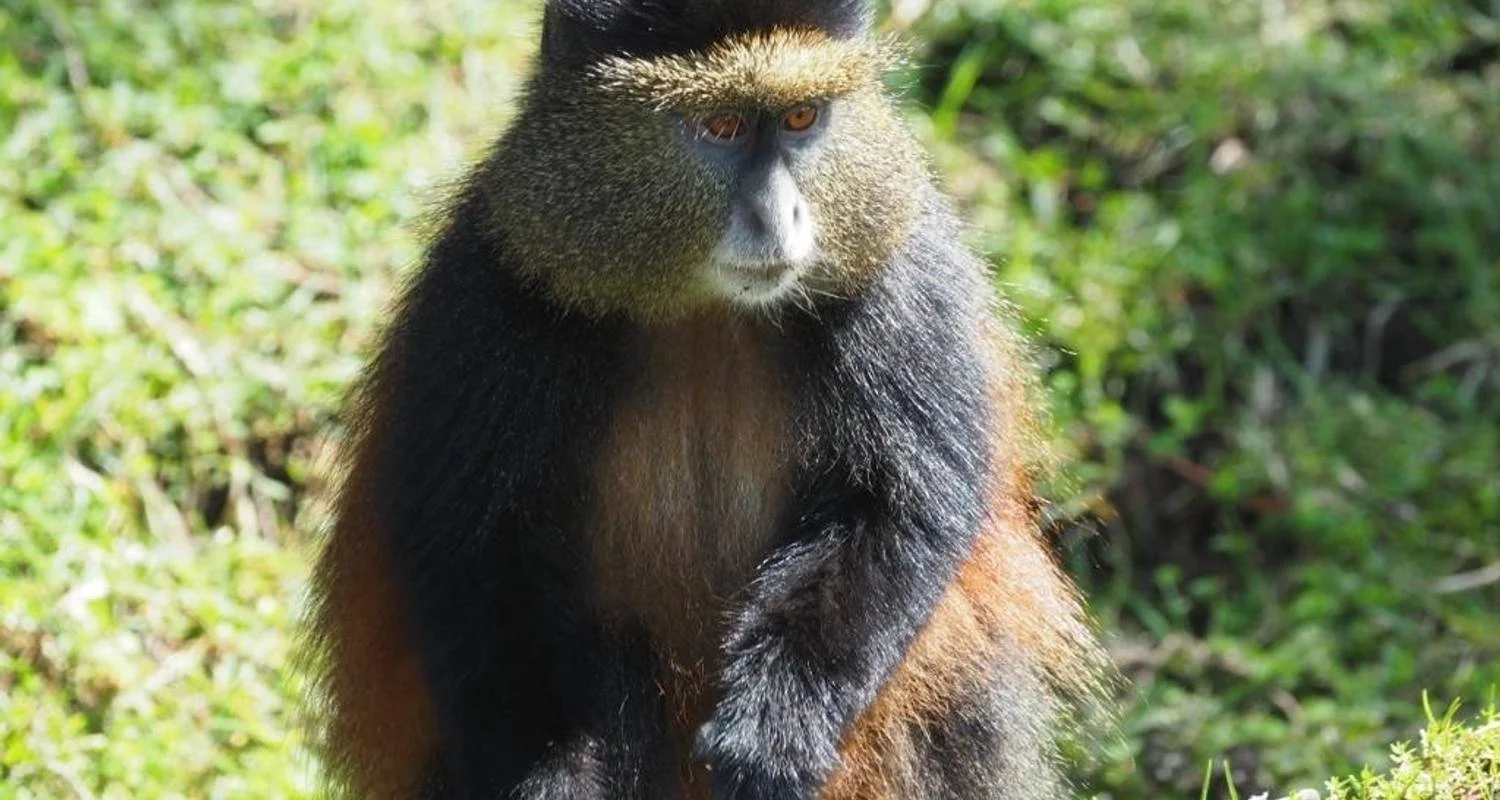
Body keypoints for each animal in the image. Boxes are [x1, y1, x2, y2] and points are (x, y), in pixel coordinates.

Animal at [303, 1, 1107, 798]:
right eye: (721, 127)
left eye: (801, 118)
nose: (779, 216)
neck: (704, 307)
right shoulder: (487, 287)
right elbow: (475, 545)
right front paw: (558, 776)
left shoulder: (902, 276)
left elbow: (902, 504)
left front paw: (776, 728)